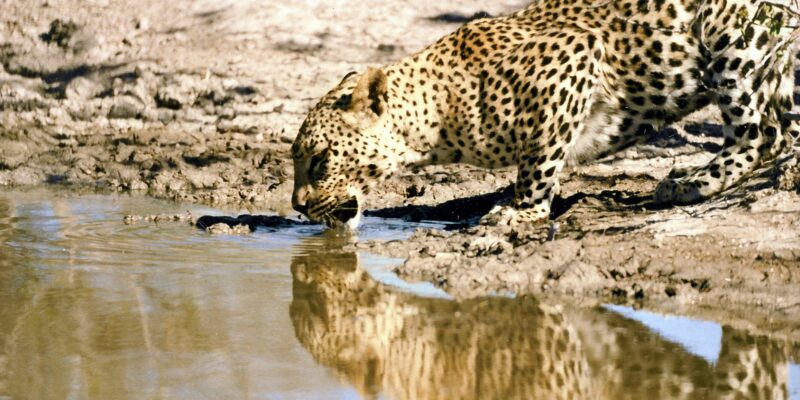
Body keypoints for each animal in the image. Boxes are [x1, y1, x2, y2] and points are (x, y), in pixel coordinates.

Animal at [292, 0, 800, 227]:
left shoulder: (573, 55)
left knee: (763, 132)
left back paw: (690, 184)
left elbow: (537, 161)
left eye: (319, 159)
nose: (296, 206)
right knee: (784, 128)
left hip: (732, 42)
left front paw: (521, 211)